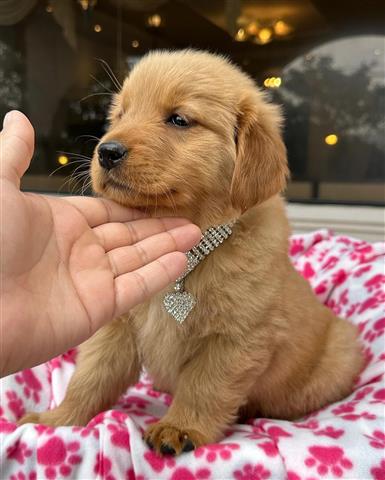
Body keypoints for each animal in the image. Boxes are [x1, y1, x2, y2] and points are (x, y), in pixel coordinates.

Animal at [20, 50, 364, 456]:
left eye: (179, 119)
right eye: (121, 114)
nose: (106, 151)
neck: (192, 254)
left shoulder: (234, 339)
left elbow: (204, 387)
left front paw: (180, 428)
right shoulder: (118, 328)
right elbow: (90, 376)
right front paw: (56, 419)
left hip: (338, 354)